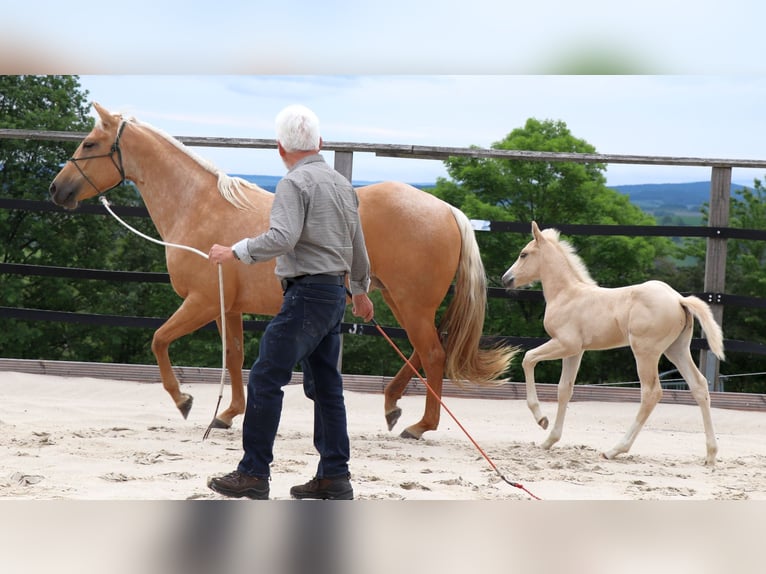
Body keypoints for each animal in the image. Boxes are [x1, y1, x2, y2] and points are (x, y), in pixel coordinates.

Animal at [48, 102, 518, 440]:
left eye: (89, 143)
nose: (56, 189)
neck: (198, 206)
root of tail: (448, 209)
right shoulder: (227, 308)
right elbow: (235, 356)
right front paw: (228, 415)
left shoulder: (201, 302)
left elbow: (159, 340)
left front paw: (184, 401)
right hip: (398, 300)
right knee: (426, 349)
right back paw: (392, 406)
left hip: (409, 301)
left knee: (433, 353)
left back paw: (420, 425)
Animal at [501, 221, 724, 465]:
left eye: (523, 254)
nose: (506, 279)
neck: (567, 295)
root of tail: (678, 299)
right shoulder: (575, 351)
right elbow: (564, 389)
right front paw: (550, 440)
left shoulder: (565, 344)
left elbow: (528, 358)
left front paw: (541, 418)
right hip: (676, 350)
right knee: (699, 385)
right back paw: (711, 454)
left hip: (645, 352)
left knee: (651, 393)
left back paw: (614, 450)